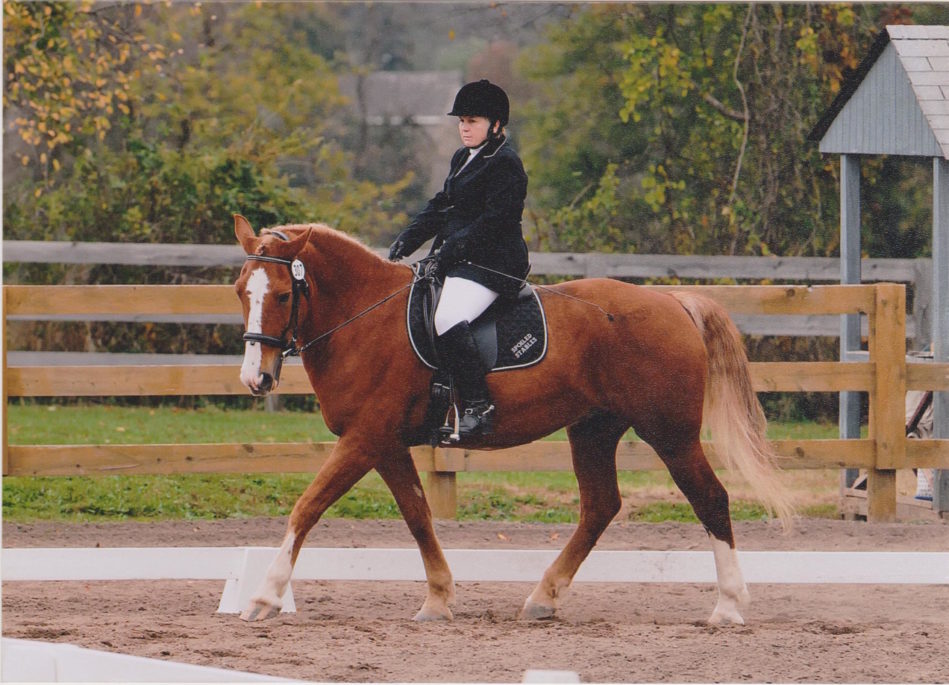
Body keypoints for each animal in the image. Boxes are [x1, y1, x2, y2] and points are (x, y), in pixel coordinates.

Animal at [231, 214, 793, 625]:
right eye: (240, 291)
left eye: (283, 294)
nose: (255, 379)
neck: (365, 317)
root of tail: (672, 301)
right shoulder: (384, 443)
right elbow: (417, 515)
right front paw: (438, 599)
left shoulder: (364, 439)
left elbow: (307, 507)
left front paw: (263, 596)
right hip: (593, 429)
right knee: (600, 506)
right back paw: (544, 598)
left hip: (670, 435)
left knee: (711, 499)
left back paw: (728, 607)